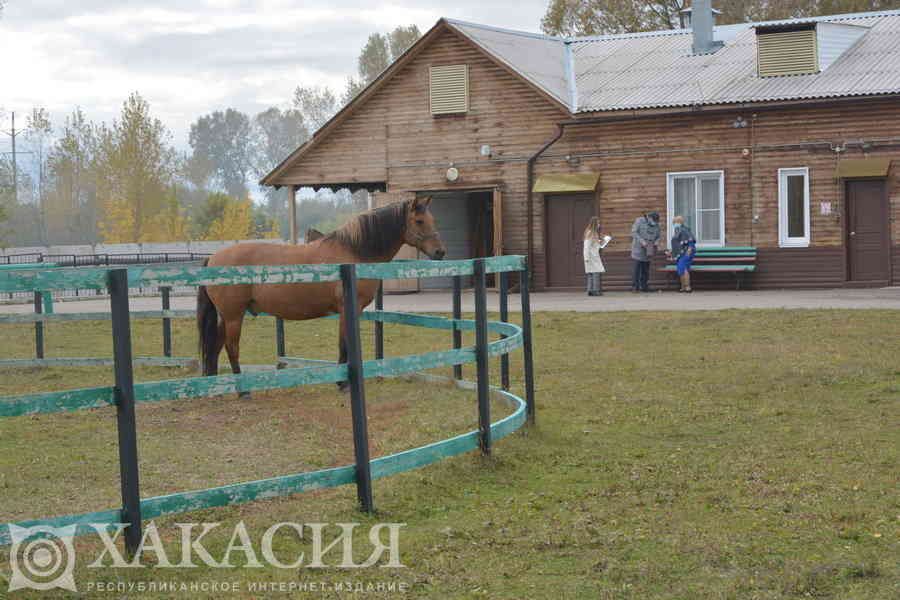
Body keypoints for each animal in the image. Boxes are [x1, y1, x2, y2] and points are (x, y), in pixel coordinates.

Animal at [200, 195, 446, 396]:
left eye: (432, 219)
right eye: (419, 221)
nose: (440, 252)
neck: (354, 252)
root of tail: (213, 259)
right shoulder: (347, 309)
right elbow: (344, 344)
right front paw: (343, 384)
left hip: (227, 317)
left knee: (216, 345)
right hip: (234, 316)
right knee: (231, 348)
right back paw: (243, 391)